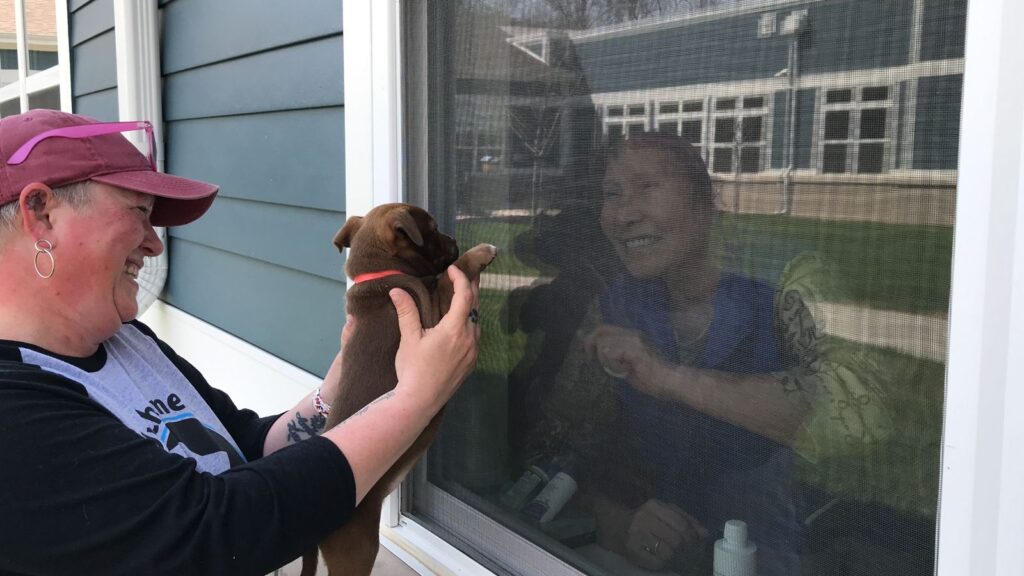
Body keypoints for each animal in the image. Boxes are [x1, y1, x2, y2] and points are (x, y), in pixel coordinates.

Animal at [299, 202, 495, 573]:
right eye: (433, 229)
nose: (454, 239)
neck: (381, 274)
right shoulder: (436, 314)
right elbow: (451, 274)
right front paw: (480, 253)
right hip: (357, 548)